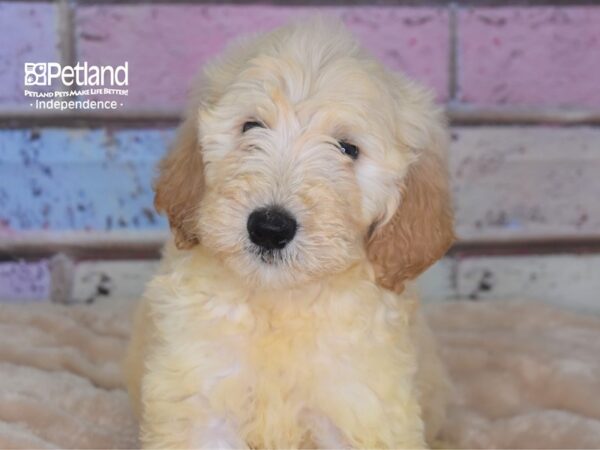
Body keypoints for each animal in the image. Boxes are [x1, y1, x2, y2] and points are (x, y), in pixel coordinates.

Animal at [127, 17, 454, 450]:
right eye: (251, 126)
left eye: (347, 149)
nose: (269, 228)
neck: (279, 301)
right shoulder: (201, 395)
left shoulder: (358, 406)